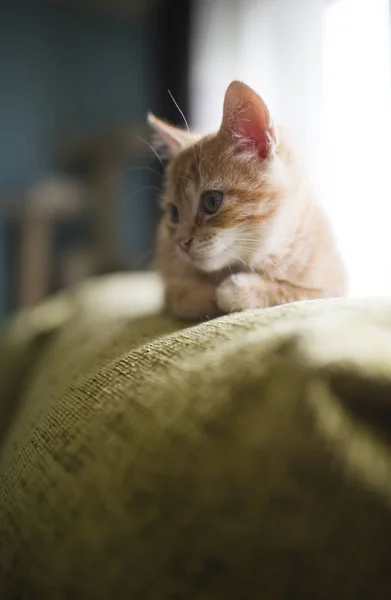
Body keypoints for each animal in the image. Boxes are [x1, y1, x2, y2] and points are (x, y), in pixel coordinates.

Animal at [148, 82, 346, 322]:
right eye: (174, 214)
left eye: (212, 201)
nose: (180, 242)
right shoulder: (171, 281)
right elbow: (182, 297)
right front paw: (211, 293)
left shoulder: (333, 287)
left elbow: (290, 291)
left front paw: (239, 291)